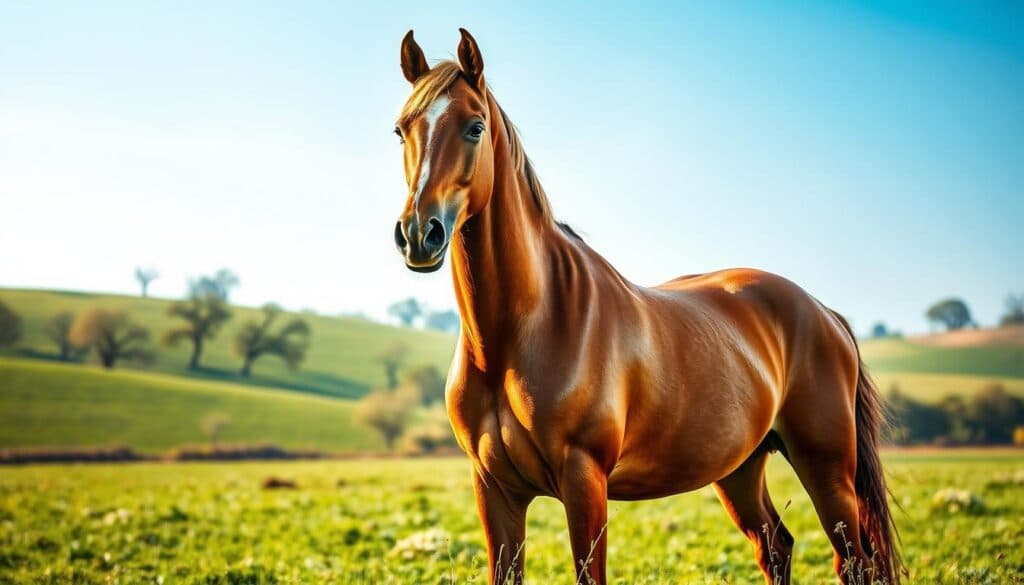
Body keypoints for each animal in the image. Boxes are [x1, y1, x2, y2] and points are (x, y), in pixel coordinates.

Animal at [391, 29, 902, 585]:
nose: (419, 234)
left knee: (854, 561)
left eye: (475, 127)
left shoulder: (584, 480)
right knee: (777, 546)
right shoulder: (494, 488)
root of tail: (824, 313)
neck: (522, 332)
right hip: (740, 468)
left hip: (827, 469)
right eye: (401, 131)